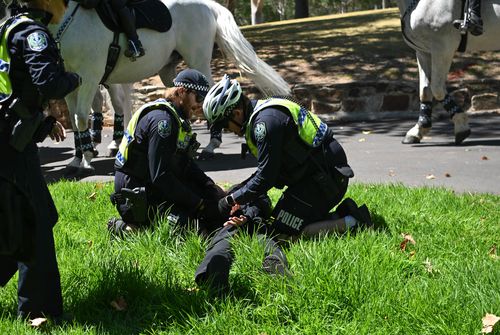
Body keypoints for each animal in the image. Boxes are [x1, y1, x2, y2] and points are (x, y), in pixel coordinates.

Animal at [48, 0, 292, 172]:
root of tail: (208, 5)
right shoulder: (72, 80)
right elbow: (78, 118)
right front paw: (77, 159)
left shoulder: (91, 76)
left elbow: (83, 116)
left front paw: (88, 159)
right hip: (169, 71)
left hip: (198, 61)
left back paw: (212, 144)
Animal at [396, 0, 498, 144]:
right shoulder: (424, 52)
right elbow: (425, 90)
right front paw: (418, 130)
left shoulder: (442, 48)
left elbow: (437, 89)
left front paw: (461, 126)